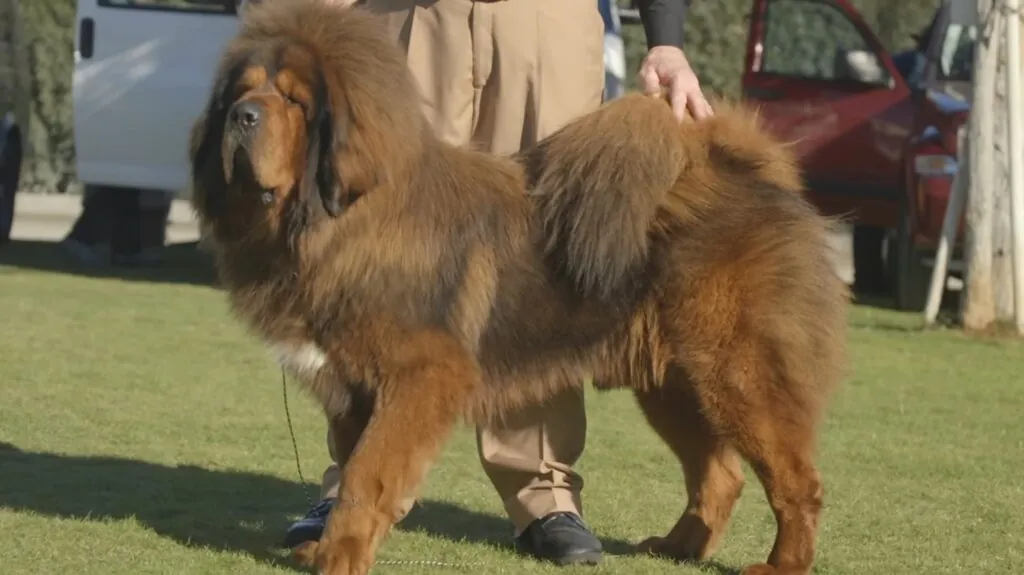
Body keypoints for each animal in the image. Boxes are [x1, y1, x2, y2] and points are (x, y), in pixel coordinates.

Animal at [190, 2, 847, 568]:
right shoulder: (353, 387)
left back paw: (781, 565)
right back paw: (678, 547)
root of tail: (755, 174)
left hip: (740, 376)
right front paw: (324, 543)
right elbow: (349, 470)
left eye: (294, 101)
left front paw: (340, 557)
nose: (241, 116)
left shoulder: (419, 377)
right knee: (720, 476)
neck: (336, 221)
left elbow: (365, 474)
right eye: (242, 91)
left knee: (798, 483)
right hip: (675, 385)